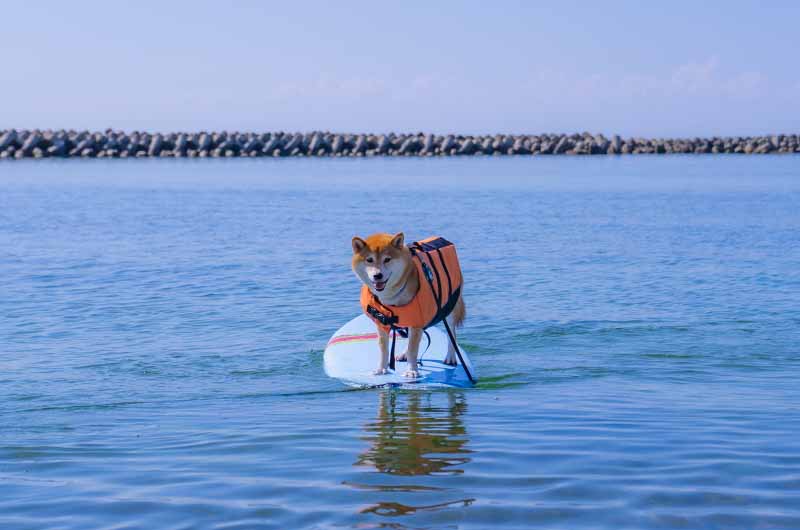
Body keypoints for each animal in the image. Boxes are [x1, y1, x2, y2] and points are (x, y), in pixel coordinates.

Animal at [348, 231, 462, 376]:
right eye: (369, 260)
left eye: (387, 259)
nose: (377, 276)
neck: (391, 296)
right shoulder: (382, 322)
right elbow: (384, 349)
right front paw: (381, 368)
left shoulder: (417, 318)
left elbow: (413, 349)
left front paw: (412, 370)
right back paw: (404, 354)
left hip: (448, 308)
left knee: (451, 333)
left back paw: (450, 357)